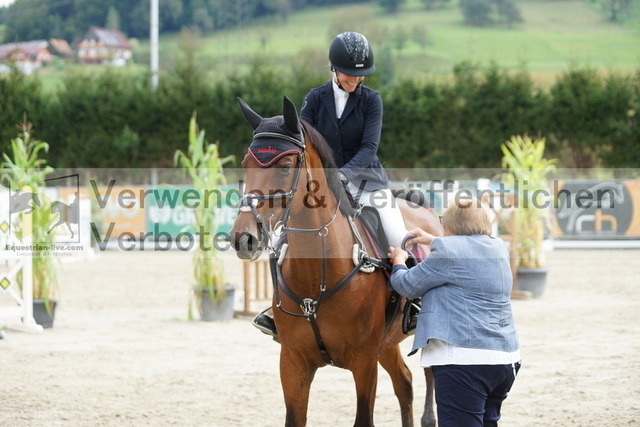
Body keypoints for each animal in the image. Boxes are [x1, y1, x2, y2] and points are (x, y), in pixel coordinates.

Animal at [230, 96, 442, 427]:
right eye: (245, 164)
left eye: (286, 166)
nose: (244, 238)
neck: (317, 276)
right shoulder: (292, 363)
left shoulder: (363, 362)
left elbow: (363, 419)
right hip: (387, 343)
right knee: (405, 383)